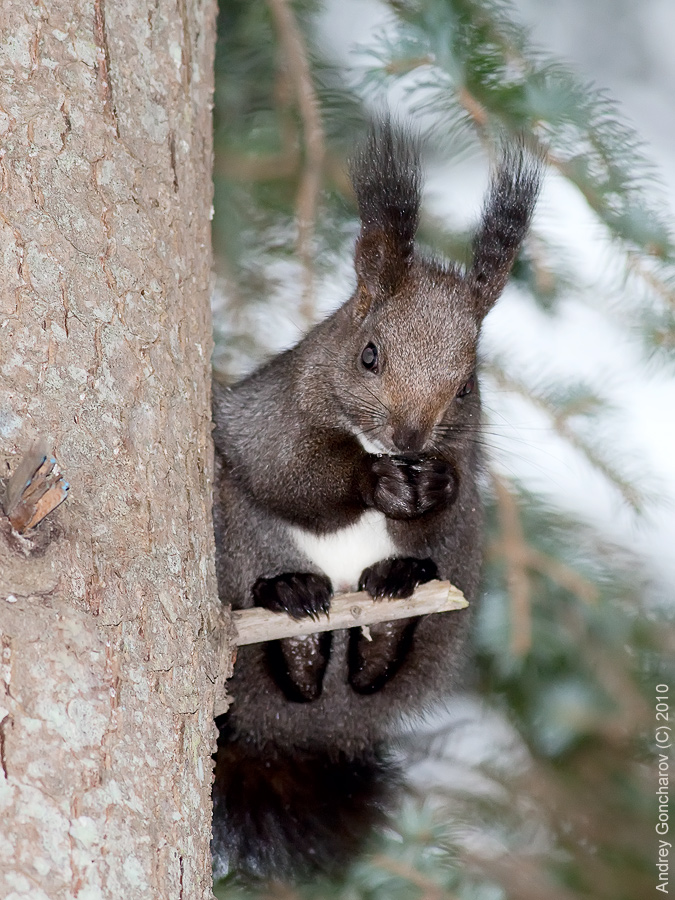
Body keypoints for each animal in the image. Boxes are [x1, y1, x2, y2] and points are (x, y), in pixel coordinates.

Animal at [209, 118, 540, 880]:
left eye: (467, 386)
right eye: (369, 355)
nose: (411, 437)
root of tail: (303, 735)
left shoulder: (464, 460)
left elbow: (450, 499)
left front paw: (432, 488)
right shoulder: (270, 418)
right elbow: (288, 472)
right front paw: (373, 482)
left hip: (452, 593)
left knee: (375, 677)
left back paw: (387, 607)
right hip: (237, 547)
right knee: (280, 663)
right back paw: (295, 616)